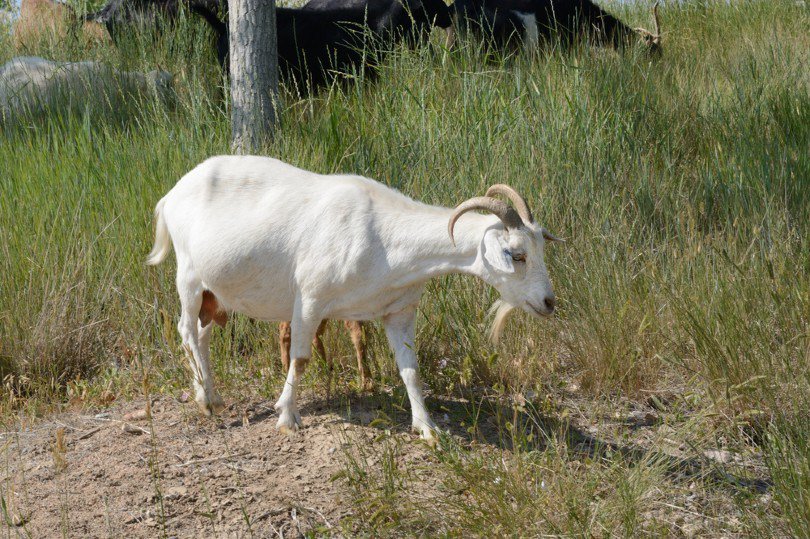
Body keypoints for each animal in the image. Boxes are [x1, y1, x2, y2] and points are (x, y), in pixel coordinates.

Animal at [147, 155, 561, 441]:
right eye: (516, 255)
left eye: (540, 249)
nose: (548, 303)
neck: (383, 236)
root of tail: (170, 196)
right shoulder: (310, 298)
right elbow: (300, 359)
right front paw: (286, 417)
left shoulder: (399, 310)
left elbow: (410, 370)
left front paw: (427, 428)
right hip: (189, 275)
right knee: (186, 330)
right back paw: (206, 400)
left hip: (215, 293)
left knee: (202, 335)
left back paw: (210, 395)